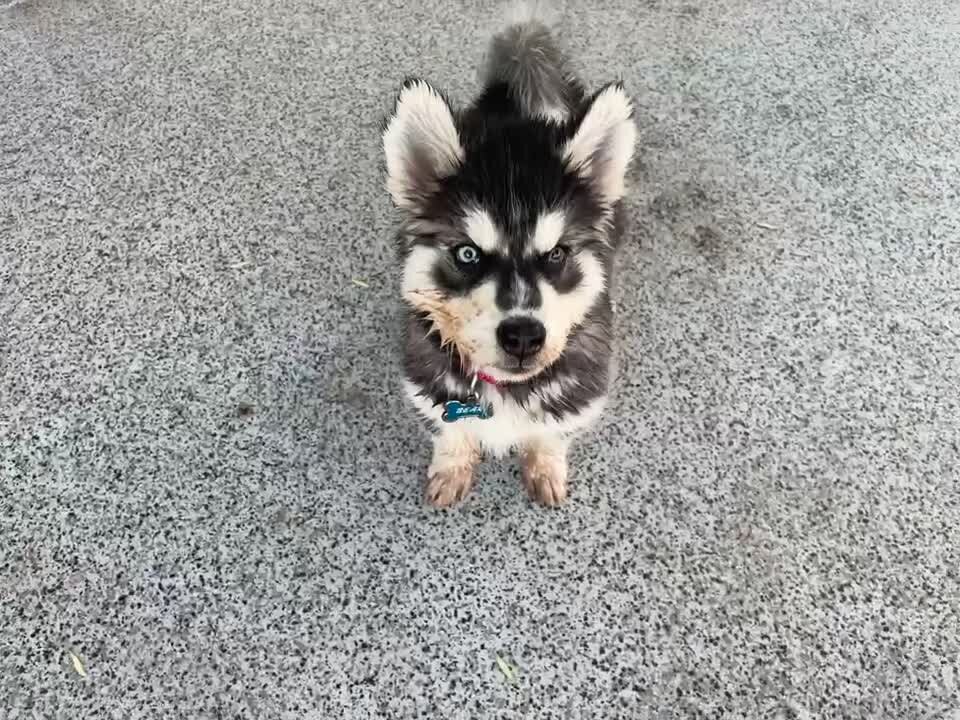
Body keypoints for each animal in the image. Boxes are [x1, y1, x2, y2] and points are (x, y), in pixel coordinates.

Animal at [382, 10, 637, 507]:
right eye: (467, 253)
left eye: (557, 253)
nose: (523, 336)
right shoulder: (429, 385)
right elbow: (451, 430)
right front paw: (453, 467)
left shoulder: (581, 393)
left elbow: (551, 432)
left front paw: (544, 465)